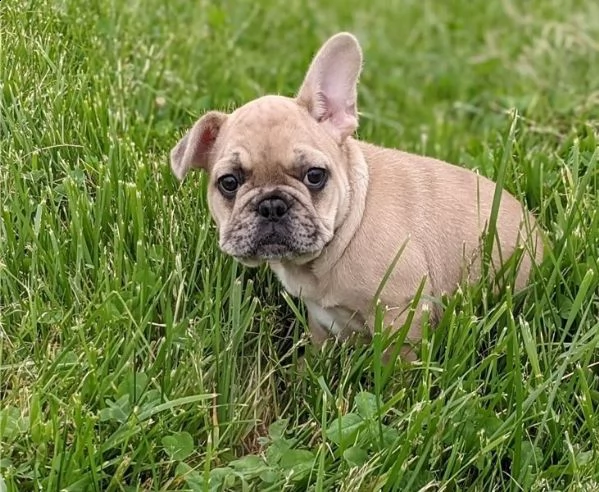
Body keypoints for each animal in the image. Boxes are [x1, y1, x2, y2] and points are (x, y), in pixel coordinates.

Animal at [170, 33, 544, 358]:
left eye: (315, 176)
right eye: (229, 183)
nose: (272, 205)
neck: (346, 228)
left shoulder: (401, 312)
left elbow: (397, 367)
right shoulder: (321, 321)